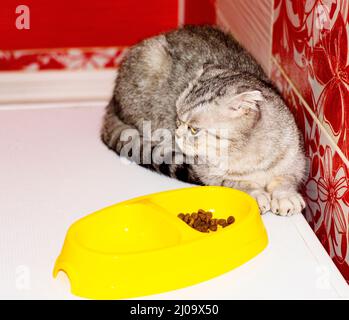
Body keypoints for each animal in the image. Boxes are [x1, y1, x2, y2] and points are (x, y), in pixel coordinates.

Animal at [101, 25, 304, 215]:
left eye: (194, 129)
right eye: (178, 119)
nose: (177, 133)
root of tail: (113, 99)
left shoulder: (296, 160)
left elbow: (286, 179)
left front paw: (285, 196)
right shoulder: (209, 175)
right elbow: (238, 183)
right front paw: (256, 193)